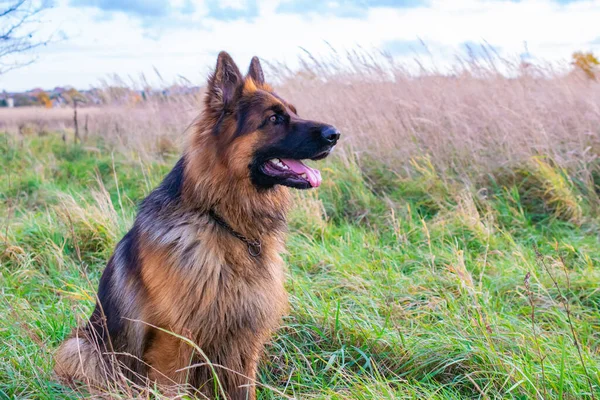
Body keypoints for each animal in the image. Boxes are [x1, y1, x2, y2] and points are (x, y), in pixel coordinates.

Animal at [54, 51, 340, 398]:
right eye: (274, 119)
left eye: (294, 113)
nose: (335, 134)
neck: (221, 220)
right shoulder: (174, 342)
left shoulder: (244, 342)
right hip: (80, 348)